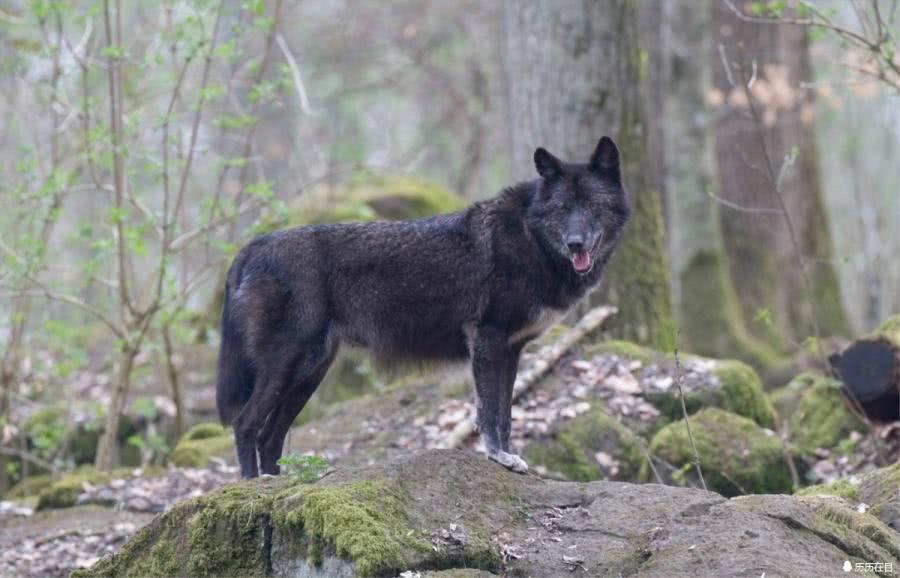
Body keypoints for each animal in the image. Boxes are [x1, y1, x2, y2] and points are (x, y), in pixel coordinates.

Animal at [214, 137, 628, 474]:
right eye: (562, 208)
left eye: (592, 205)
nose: (575, 243)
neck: (531, 238)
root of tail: (254, 246)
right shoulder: (488, 340)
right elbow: (489, 413)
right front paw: (498, 457)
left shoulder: (511, 349)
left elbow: (506, 414)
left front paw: (508, 457)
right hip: (288, 364)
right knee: (246, 425)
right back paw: (252, 488)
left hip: (310, 371)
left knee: (270, 437)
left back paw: (277, 487)